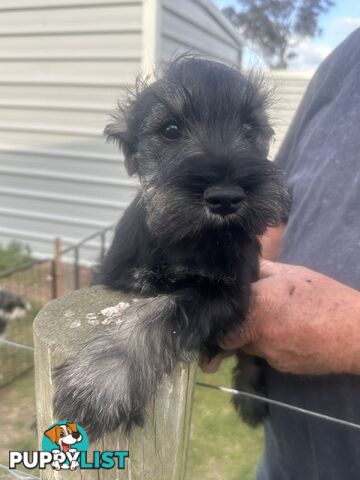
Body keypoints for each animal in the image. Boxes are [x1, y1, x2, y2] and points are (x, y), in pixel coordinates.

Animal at [53, 55, 290, 438]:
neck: (189, 238)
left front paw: (100, 380)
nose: (226, 197)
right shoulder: (116, 277)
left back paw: (251, 397)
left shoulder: (229, 293)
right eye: (170, 130)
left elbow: (162, 311)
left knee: (252, 357)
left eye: (250, 128)